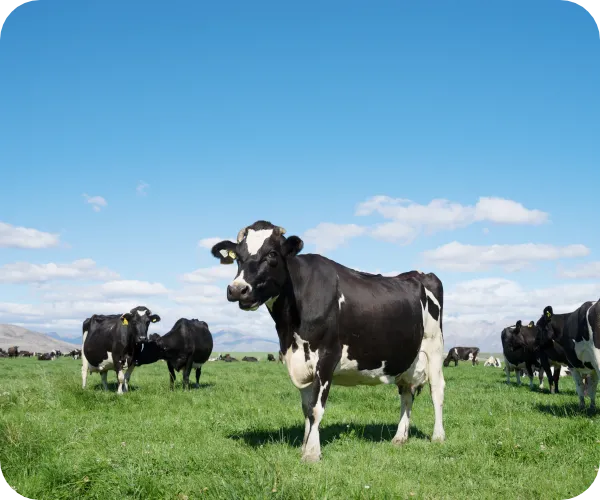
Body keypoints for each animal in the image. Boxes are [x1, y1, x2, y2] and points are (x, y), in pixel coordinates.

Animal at [211, 221, 446, 462]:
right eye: (238, 256)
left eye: (272, 254)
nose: (237, 289)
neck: (290, 327)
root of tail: (419, 274)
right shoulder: (299, 360)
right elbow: (306, 408)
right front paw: (304, 446)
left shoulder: (327, 357)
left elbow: (316, 408)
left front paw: (312, 453)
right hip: (407, 357)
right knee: (406, 392)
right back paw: (400, 437)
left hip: (434, 346)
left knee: (437, 390)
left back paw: (438, 436)